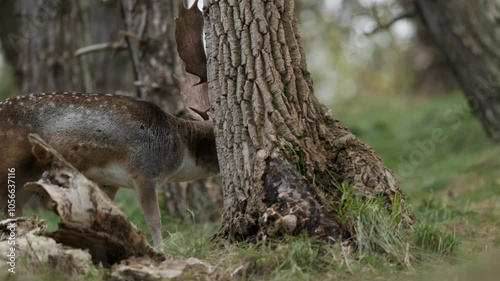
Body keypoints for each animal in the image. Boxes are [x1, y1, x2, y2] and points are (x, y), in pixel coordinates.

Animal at [0, 91, 219, 246]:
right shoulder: (143, 173)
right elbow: (154, 221)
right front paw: (161, 252)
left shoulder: (110, 181)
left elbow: (108, 213)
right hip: (11, 164)